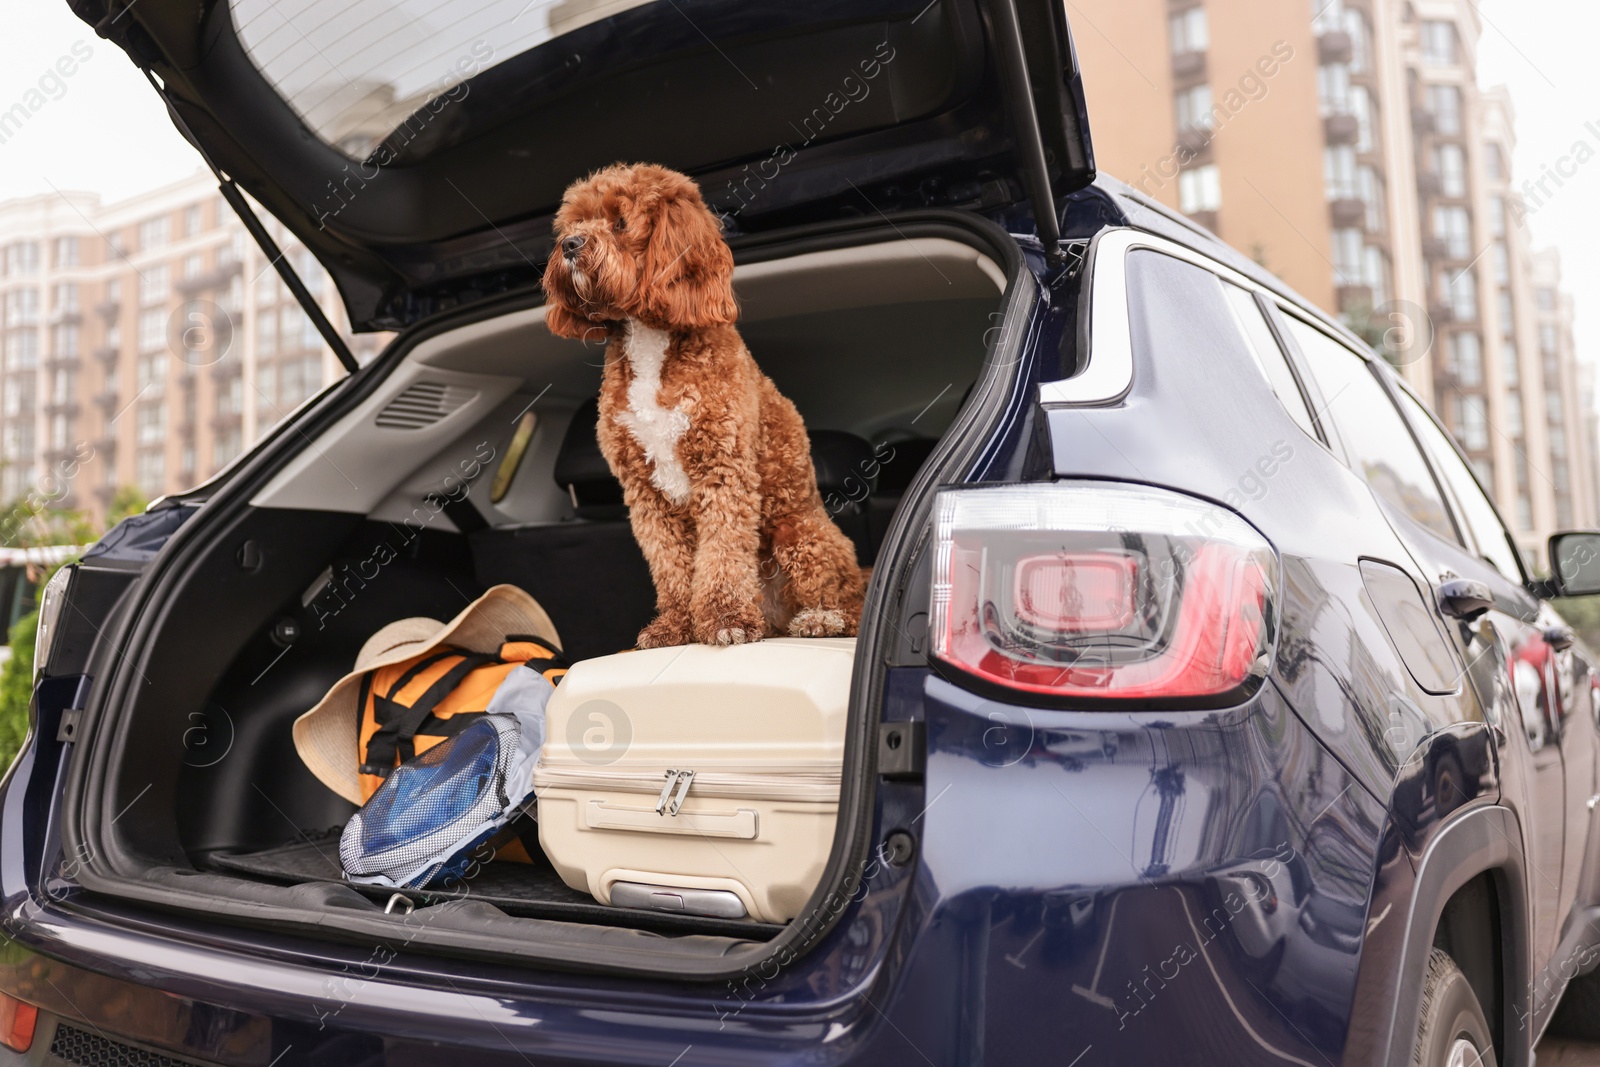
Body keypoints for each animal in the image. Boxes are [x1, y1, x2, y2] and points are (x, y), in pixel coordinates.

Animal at [540, 163, 870, 646]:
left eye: (620, 222)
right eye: (574, 223)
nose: (570, 245)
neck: (651, 340)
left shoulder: (722, 467)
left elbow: (723, 553)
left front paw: (727, 618)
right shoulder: (646, 492)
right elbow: (671, 565)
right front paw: (677, 625)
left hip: (799, 532)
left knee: (851, 603)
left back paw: (821, 619)